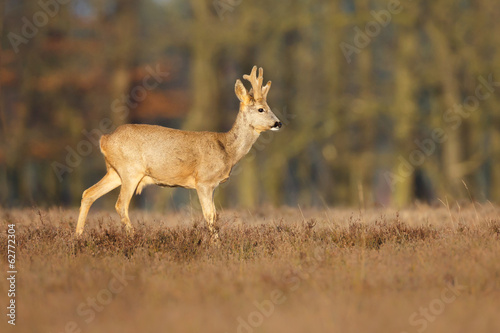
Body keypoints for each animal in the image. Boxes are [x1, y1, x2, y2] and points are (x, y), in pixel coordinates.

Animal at [76, 65, 284, 236]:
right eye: (261, 109)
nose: (278, 123)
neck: (227, 150)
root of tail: (105, 139)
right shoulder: (203, 181)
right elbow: (210, 217)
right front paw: (215, 246)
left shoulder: (213, 185)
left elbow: (215, 215)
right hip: (130, 170)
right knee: (120, 204)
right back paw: (133, 236)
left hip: (114, 171)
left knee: (88, 193)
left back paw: (78, 237)